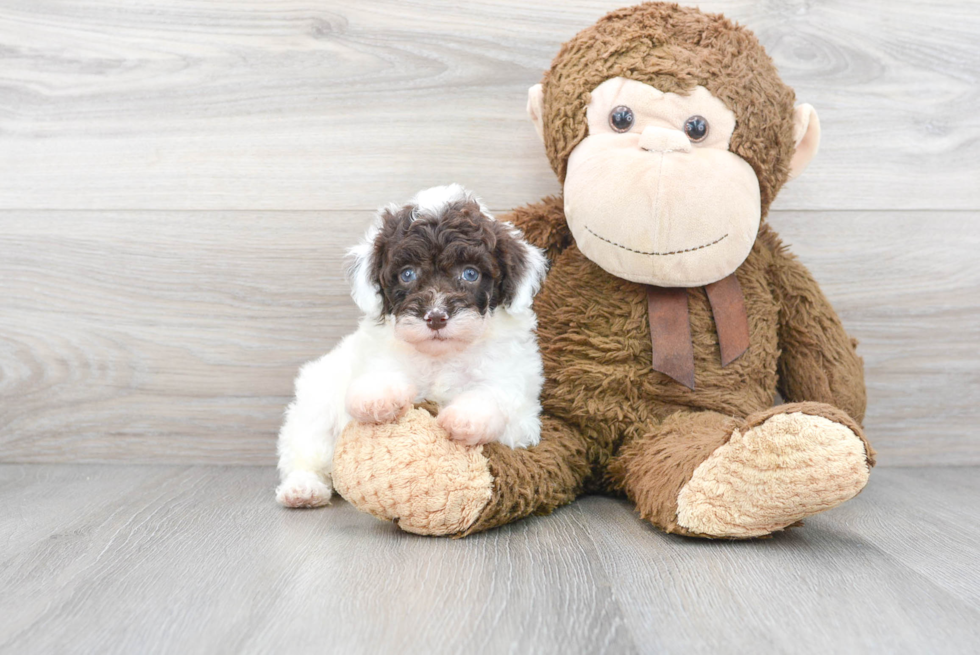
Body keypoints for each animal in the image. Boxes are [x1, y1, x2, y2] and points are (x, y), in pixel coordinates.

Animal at [274, 184, 552, 508]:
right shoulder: (378, 358)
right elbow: (383, 375)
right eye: (407, 274)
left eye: (470, 273)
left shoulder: (521, 411)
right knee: (306, 451)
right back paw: (303, 489)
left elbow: (493, 394)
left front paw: (467, 417)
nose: (436, 317)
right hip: (315, 406)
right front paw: (376, 396)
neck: (441, 356)